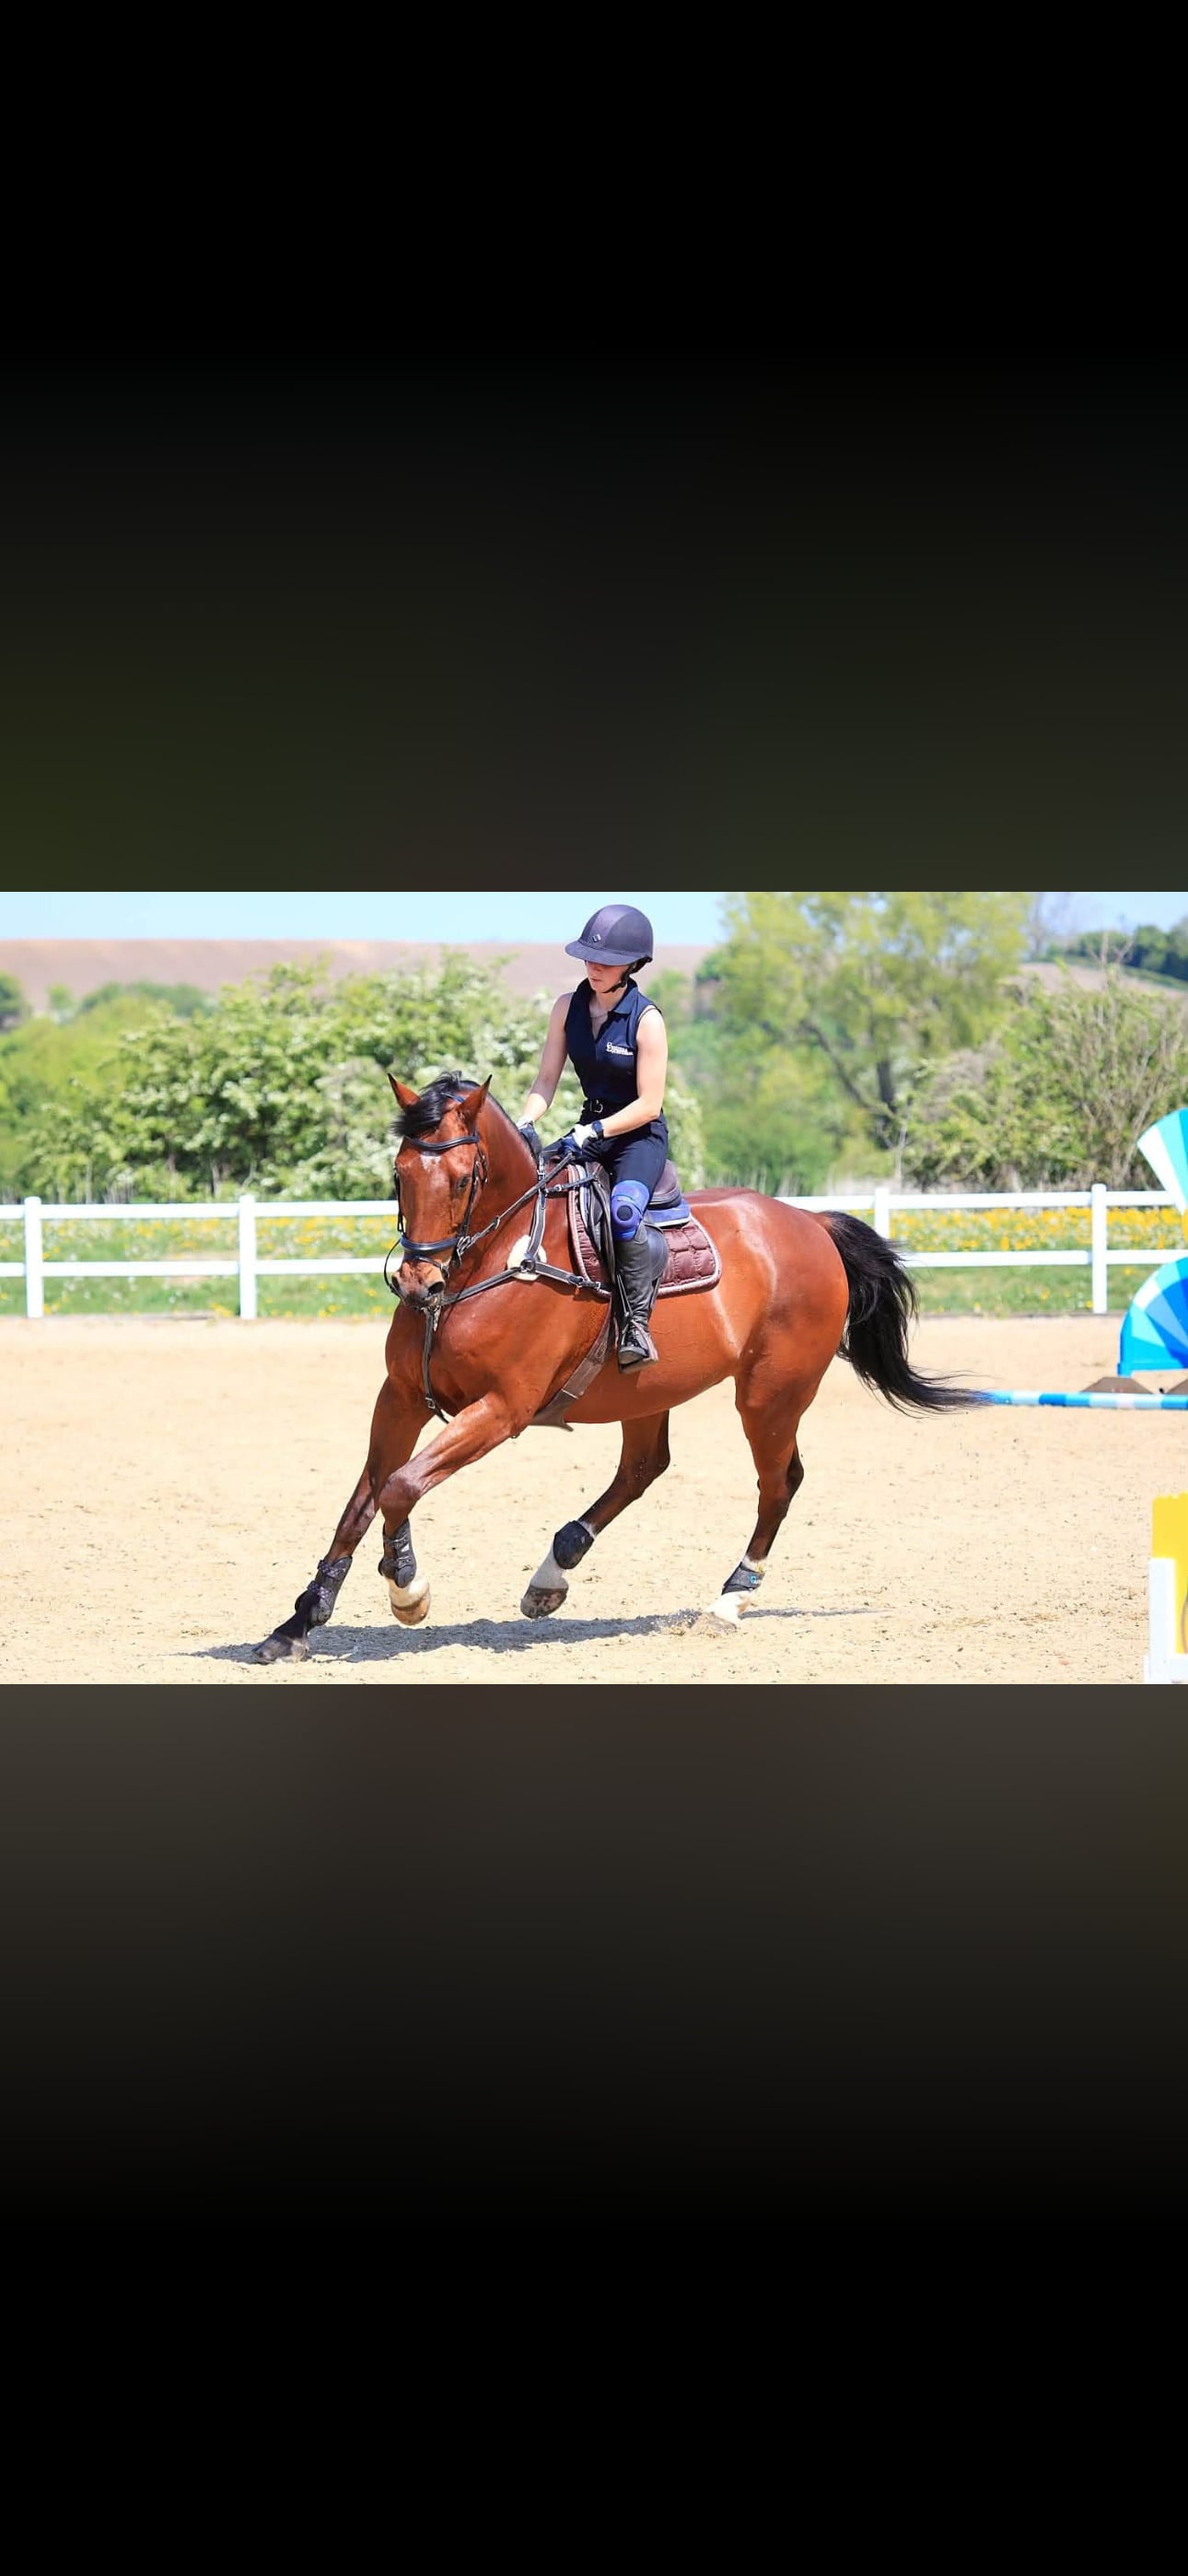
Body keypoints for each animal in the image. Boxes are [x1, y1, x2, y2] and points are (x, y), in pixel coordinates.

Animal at [254, 1071, 981, 1661]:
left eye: (462, 1180)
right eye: (399, 1174)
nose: (416, 1284)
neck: (491, 1262)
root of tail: (810, 1224)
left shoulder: (501, 1411)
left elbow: (401, 1488)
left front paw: (409, 1590)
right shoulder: (401, 1396)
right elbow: (363, 1502)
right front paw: (298, 1624)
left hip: (770, 1396)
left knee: (779, 1484)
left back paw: (729, 1598)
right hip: (649, 1392)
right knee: (643, 1468)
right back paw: (553, 1573)